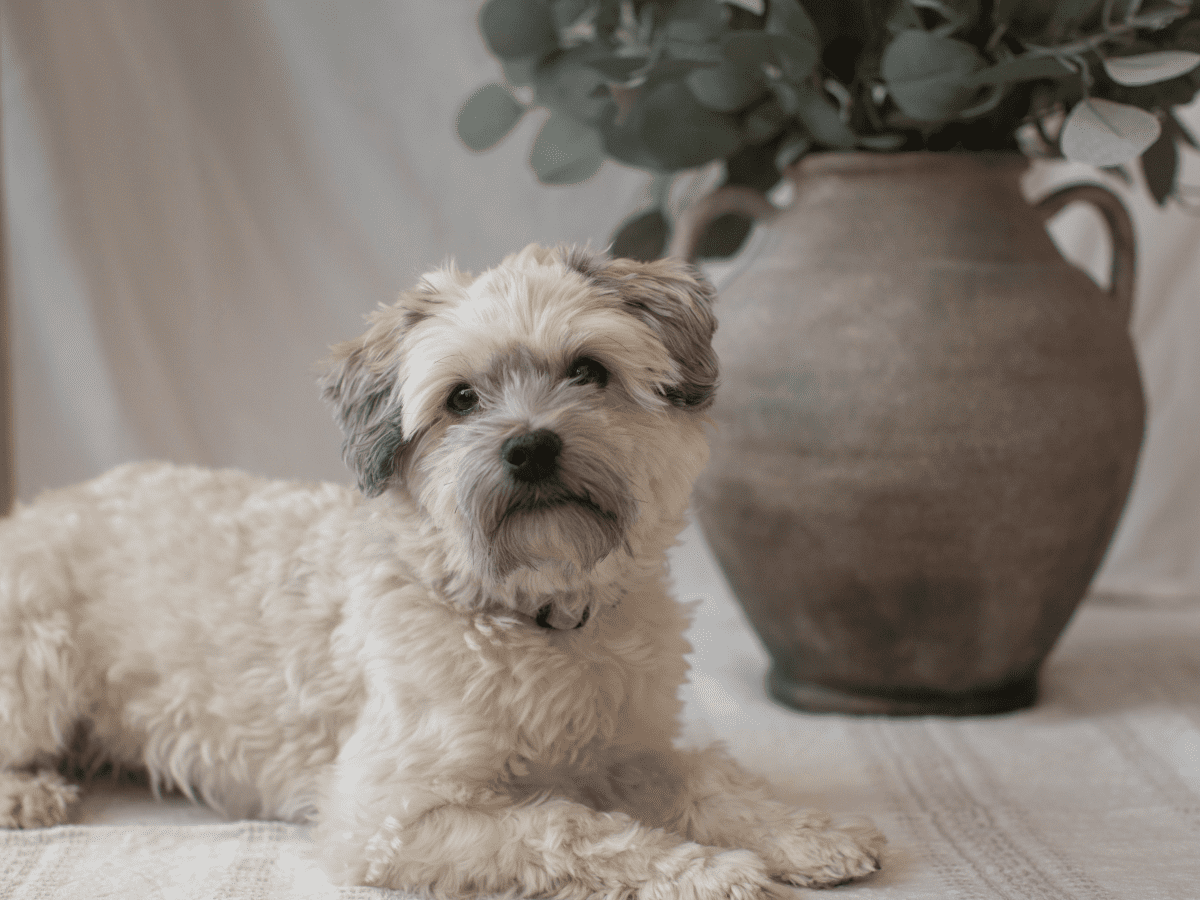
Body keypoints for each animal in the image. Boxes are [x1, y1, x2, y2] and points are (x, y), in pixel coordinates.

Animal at [0, 243, 883, 897]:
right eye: (461, 399)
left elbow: (709, 780)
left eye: (588, 370)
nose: (530, 447)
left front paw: (807, 832)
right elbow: (570, 826)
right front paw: (709, 871)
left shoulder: (631, 749)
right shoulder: (391, 818)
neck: (535, 615)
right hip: (38, 664)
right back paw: (28, 791)